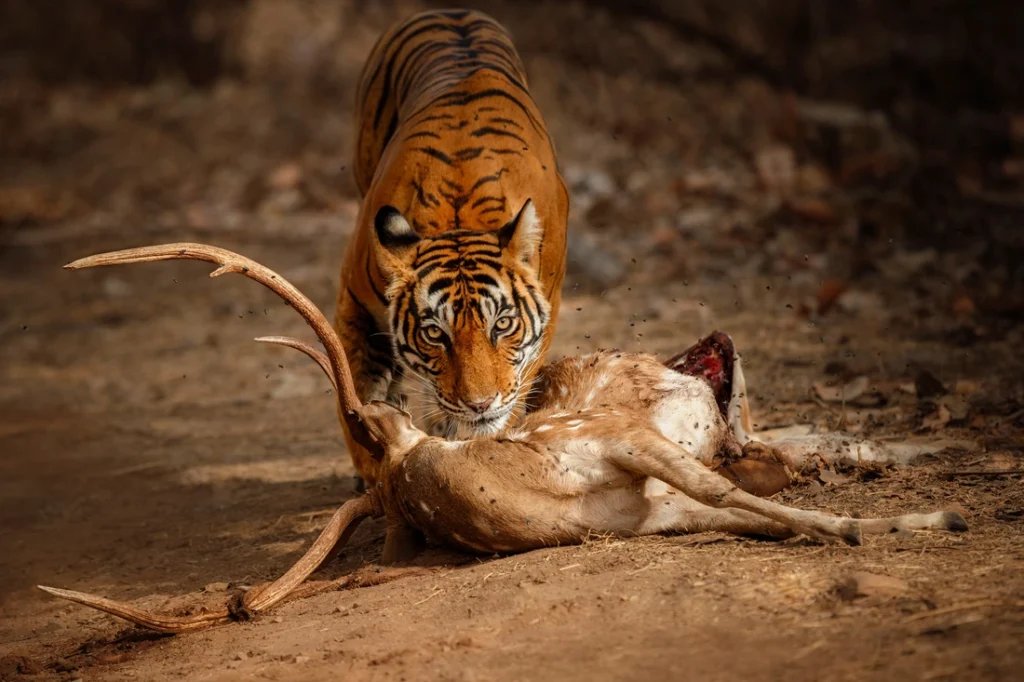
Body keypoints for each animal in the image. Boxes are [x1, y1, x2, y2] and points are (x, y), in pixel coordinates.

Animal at [37, 243, 968, 635]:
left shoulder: (640, 469)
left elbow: (749, 496)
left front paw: (910, 516)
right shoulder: (639, 474)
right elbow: (756, 505)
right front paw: (915, 522)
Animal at [334, 9, 569, 485]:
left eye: (503, 325)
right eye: (433, 334)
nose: (479, 405)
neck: (459, 217)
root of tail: (450, 11)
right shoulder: (355, 297)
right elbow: (356, 385)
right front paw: (375, 458)